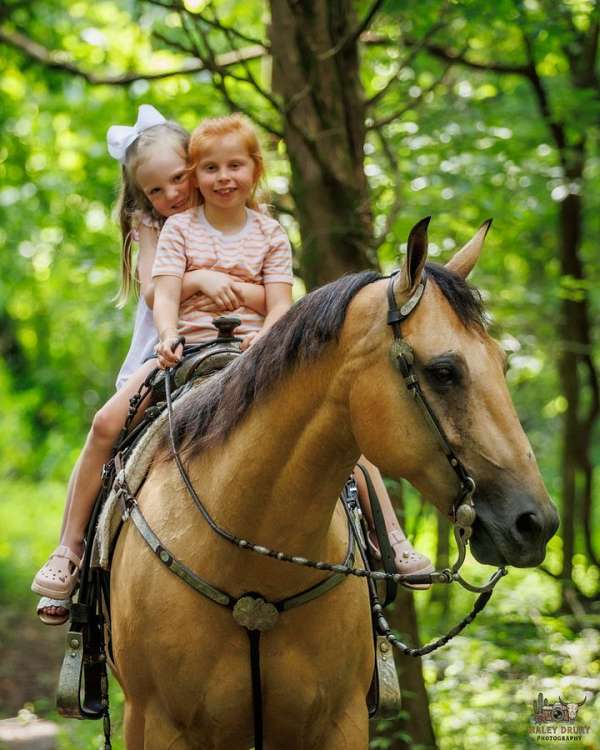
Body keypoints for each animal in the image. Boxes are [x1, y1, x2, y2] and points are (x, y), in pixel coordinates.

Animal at [109, 218, 559, 749]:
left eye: (502, 364)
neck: (253, 573)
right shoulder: (162, 724)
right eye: (444, 372)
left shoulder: (340, 722)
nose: (536, 523)